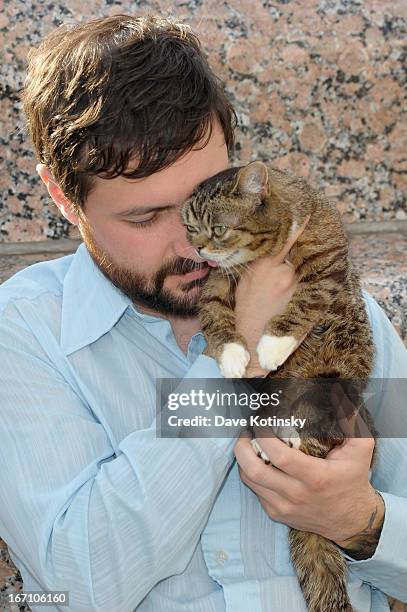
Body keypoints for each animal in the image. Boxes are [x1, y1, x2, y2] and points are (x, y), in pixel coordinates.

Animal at [183, 161, 378, 612]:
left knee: (319, 434)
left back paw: (287, 438)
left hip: (331, 385)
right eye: (189, 229)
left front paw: (273, 344)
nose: (199, 251)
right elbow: (214, 313)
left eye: (218, 229)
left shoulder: (326, 260)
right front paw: (233, 354)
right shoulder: (218, 283)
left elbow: (305, 299)